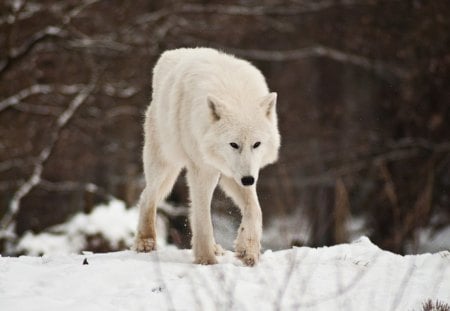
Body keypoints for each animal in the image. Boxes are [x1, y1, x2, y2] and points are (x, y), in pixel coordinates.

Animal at [134, 47, 280, 266]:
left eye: (256, 144)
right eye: (234, 144)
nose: (248, 180)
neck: (235, 94)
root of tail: (171, 53)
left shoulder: (235, 173)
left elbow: (255, 210)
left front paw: (248, 250)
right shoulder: (203, 170)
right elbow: (202, 217)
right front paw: (206, 259)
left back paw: (216, 247)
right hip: (165, 164)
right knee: (147, 196)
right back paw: (145, 241)